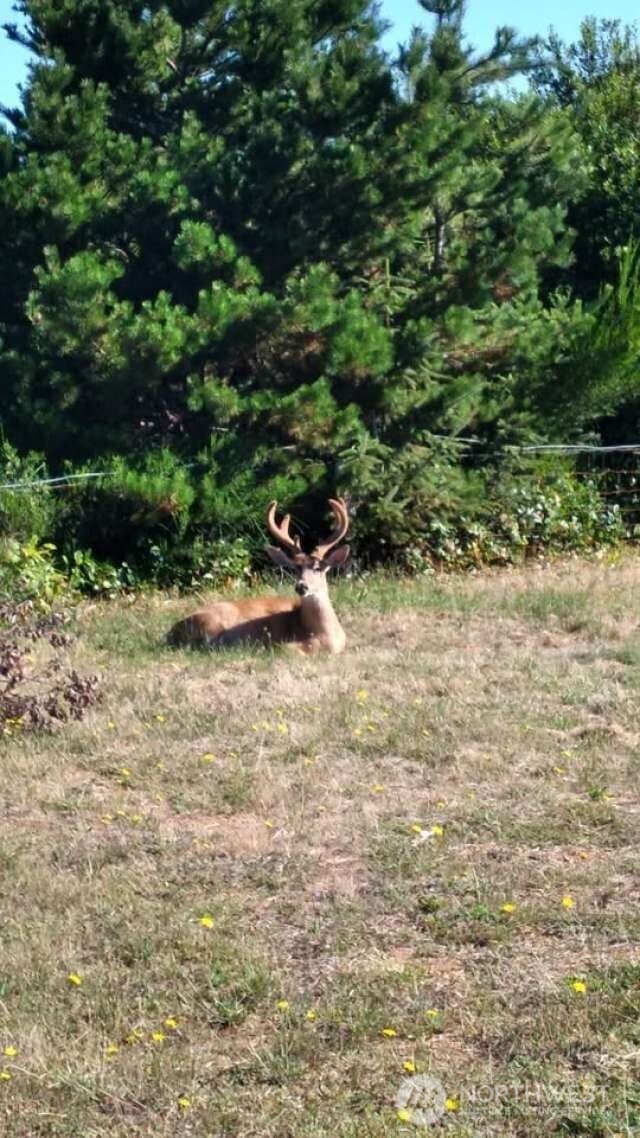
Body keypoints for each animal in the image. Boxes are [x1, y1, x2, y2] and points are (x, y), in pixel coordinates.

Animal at [167, 498, 350, 654]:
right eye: (295, 568)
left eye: (318, 568)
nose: (301, 586)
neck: (324, 634)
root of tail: (170, 633)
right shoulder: (284, 643)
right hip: (215, 622)